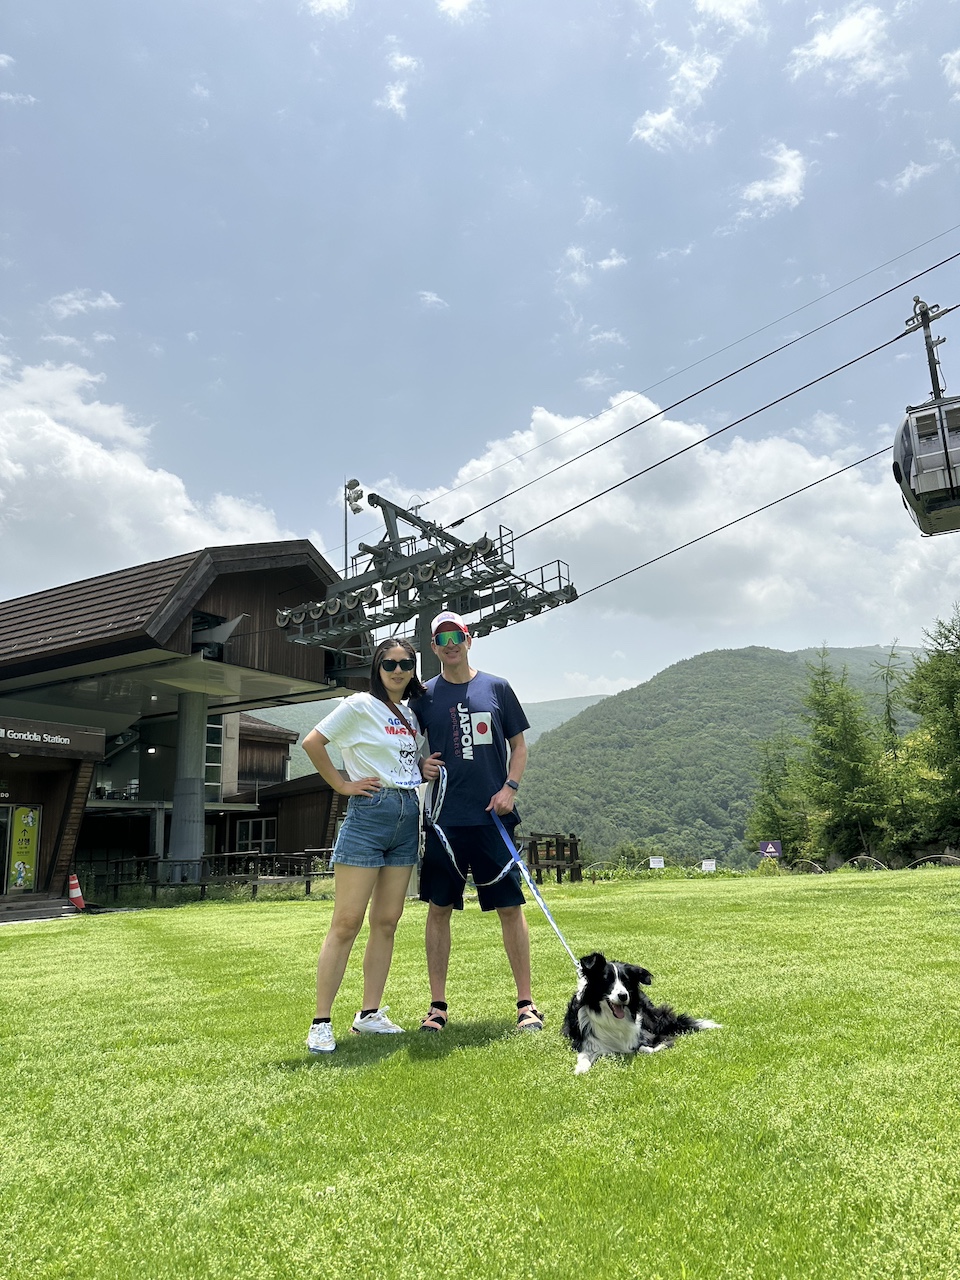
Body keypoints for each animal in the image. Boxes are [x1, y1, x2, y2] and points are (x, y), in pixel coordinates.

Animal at [563, 952, 721, 1070]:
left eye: (626, 981)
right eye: (607, 980)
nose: (623, 996)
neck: (611, 1019)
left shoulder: (645, 1034)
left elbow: (645, 1047)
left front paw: (660, 1046)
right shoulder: (586, 1041)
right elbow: (585, 1056)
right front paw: (580, 1069)